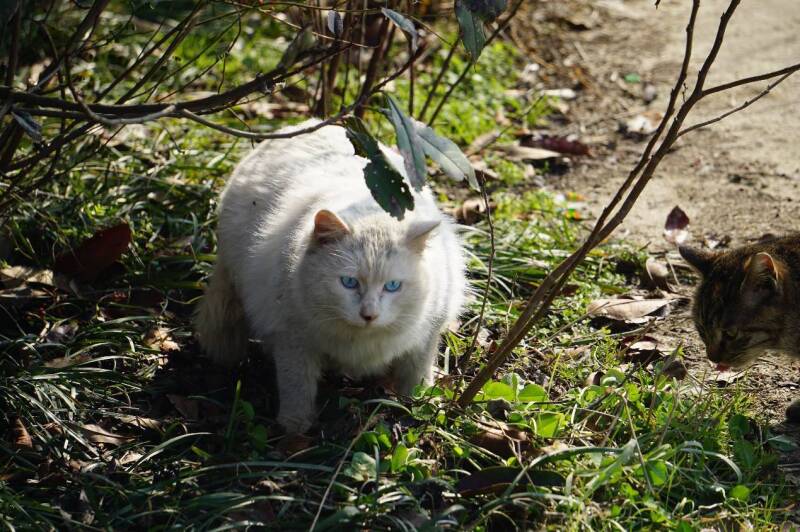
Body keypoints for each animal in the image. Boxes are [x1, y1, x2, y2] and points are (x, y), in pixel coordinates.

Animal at [194, 119, 466, 432]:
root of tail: (310, 124)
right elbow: (296, 387)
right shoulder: (293, 338)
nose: (369, 315)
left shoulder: (428, 334)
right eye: (349, 282)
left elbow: (416, 376)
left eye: (393, 286)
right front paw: (294, 428)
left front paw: (419, 408)